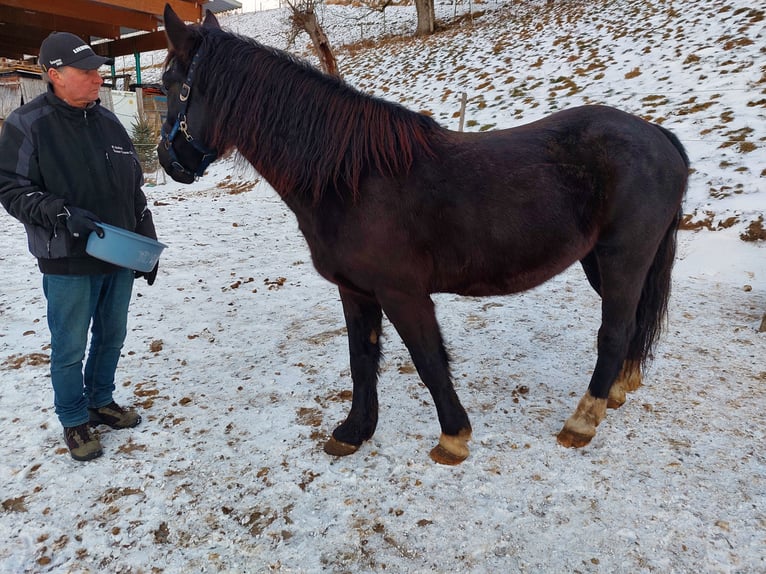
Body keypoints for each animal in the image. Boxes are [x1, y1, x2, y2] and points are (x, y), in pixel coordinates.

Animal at [158, 5, 689, 465]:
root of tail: (657, 135)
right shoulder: (356, 292)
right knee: (632, 323)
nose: (168, 161)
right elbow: (362, 359)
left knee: (614, 331)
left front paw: (453, 437)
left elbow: (428, 359)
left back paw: (582, 421)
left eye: (171, 85)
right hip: (602, 261)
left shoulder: (403, 293)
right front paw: (353, 433)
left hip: (622, 257)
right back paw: (616, 391)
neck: (351, 177)